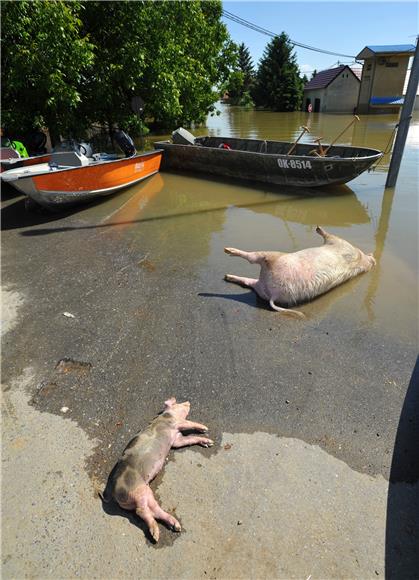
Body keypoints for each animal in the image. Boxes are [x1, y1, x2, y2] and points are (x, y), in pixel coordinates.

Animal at [101, 396, 213, 540]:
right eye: (178, 403)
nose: (187, 401)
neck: (165, 416)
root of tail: (114, 493)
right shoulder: (174, 422)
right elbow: (188, 423)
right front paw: (205, 428)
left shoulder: (176, 440)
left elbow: (189, 439)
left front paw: (209, 443)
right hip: (137, 491)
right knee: (141, 511)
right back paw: (156, 536)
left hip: (145, 492)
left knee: (154, 510)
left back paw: (175, 527)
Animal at [225, 225, 376, 318]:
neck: (363, 259)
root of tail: (273, 294)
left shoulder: (340, 242)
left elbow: (329, 235)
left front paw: (318, 228)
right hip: (262, 287)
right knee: (249, 282)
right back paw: (228, 276)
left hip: (273, 258)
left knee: (253, 258)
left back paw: (228, 251)